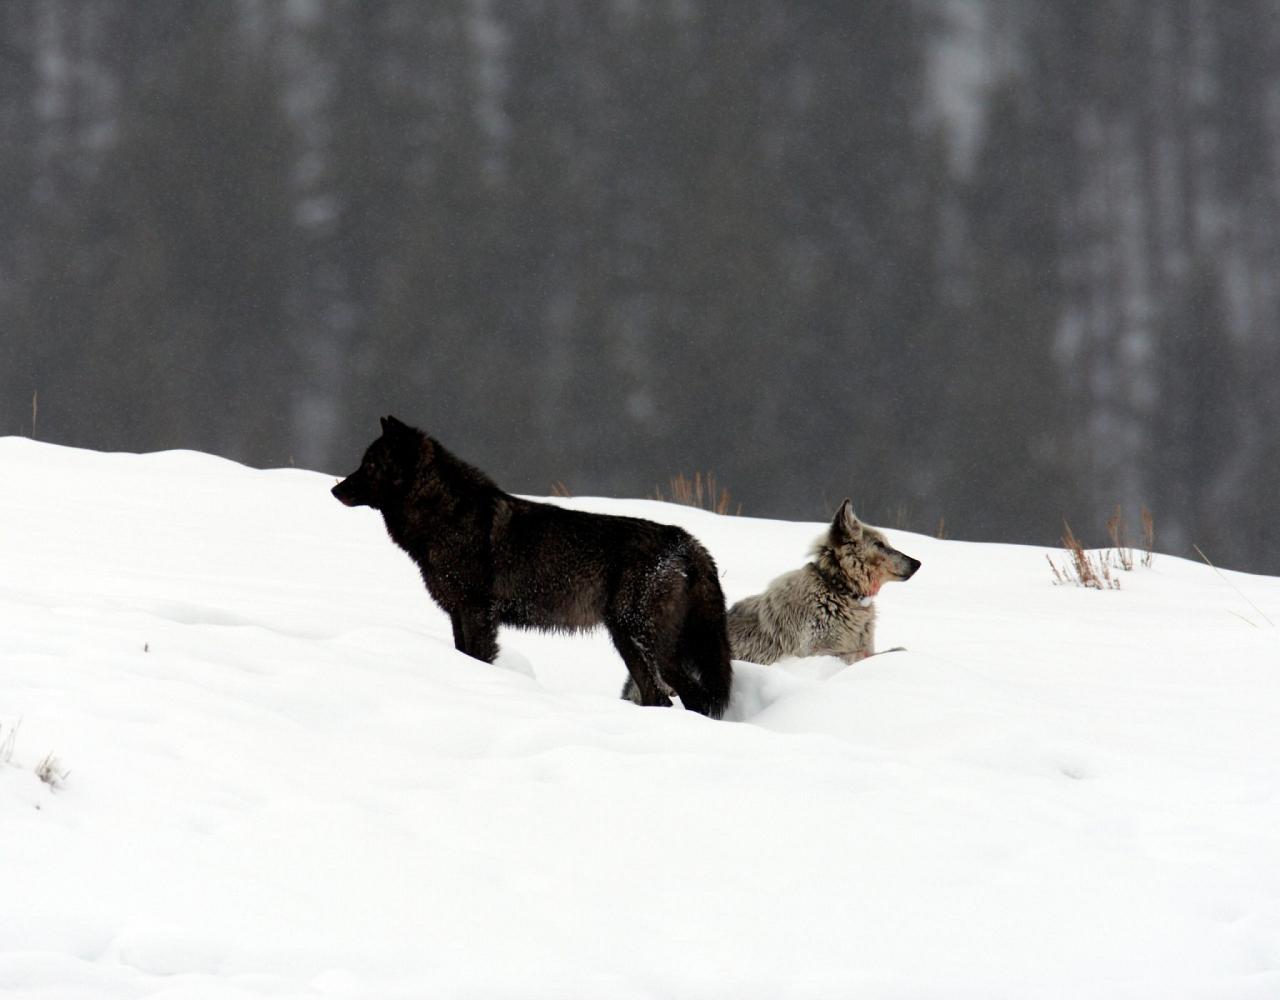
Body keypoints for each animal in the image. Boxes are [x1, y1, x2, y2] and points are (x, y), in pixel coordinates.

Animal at [330, 417, 732, 711]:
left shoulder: (477, 613)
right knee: (661, 698)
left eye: (370, 465)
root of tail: (686, 541)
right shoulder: (457, 613)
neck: (444, 517)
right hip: (629, 643)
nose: (334, 489)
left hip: (650, 644)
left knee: (693, 696)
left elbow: (479, 658)